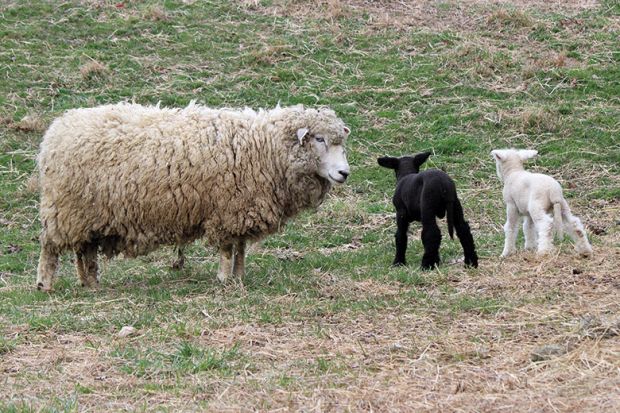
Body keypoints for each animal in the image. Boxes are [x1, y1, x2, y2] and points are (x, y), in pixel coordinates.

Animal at [36, 102, 351, 291]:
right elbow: (227, 249)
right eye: (319, 139)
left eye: (340, 142)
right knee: (50, 247)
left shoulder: (241, 208)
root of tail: (57, 129)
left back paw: (89, 282)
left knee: (84, 250)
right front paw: (224, 279)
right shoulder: (226, 209)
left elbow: (240, 249)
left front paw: (239, 276)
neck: (264, 147)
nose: (344, 173)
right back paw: (45, 284)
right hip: (64, 209)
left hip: (86, 215)